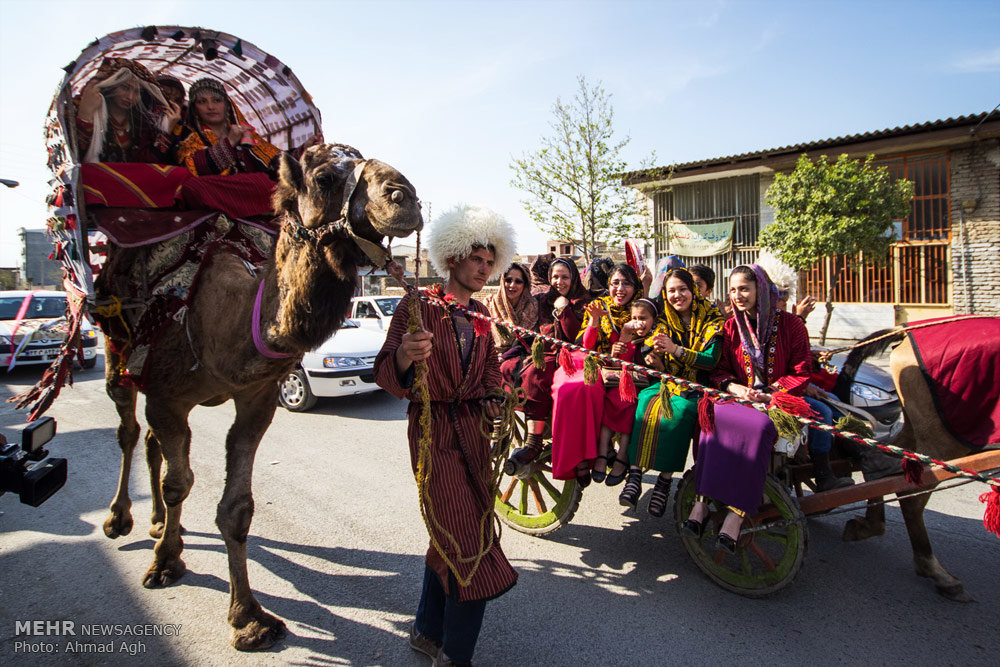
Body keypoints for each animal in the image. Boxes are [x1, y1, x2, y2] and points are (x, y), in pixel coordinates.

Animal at [94, 144, 422, 648]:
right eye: (324, 177)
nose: (406, 197)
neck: (221, 322)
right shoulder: (168, 396)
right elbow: (178, 483)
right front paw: (166, 564)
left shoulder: (255, 399)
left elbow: (237, 508)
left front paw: (247, 617)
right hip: (117, 348)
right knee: (129, 430)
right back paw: (121, 519)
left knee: (150, 443)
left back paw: (158, 523)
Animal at [836, 324, 992, 604]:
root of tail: (904, 332)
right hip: (942, 437)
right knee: (910, 492)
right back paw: (936, 571)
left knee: (883, 463)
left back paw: (870, 525)